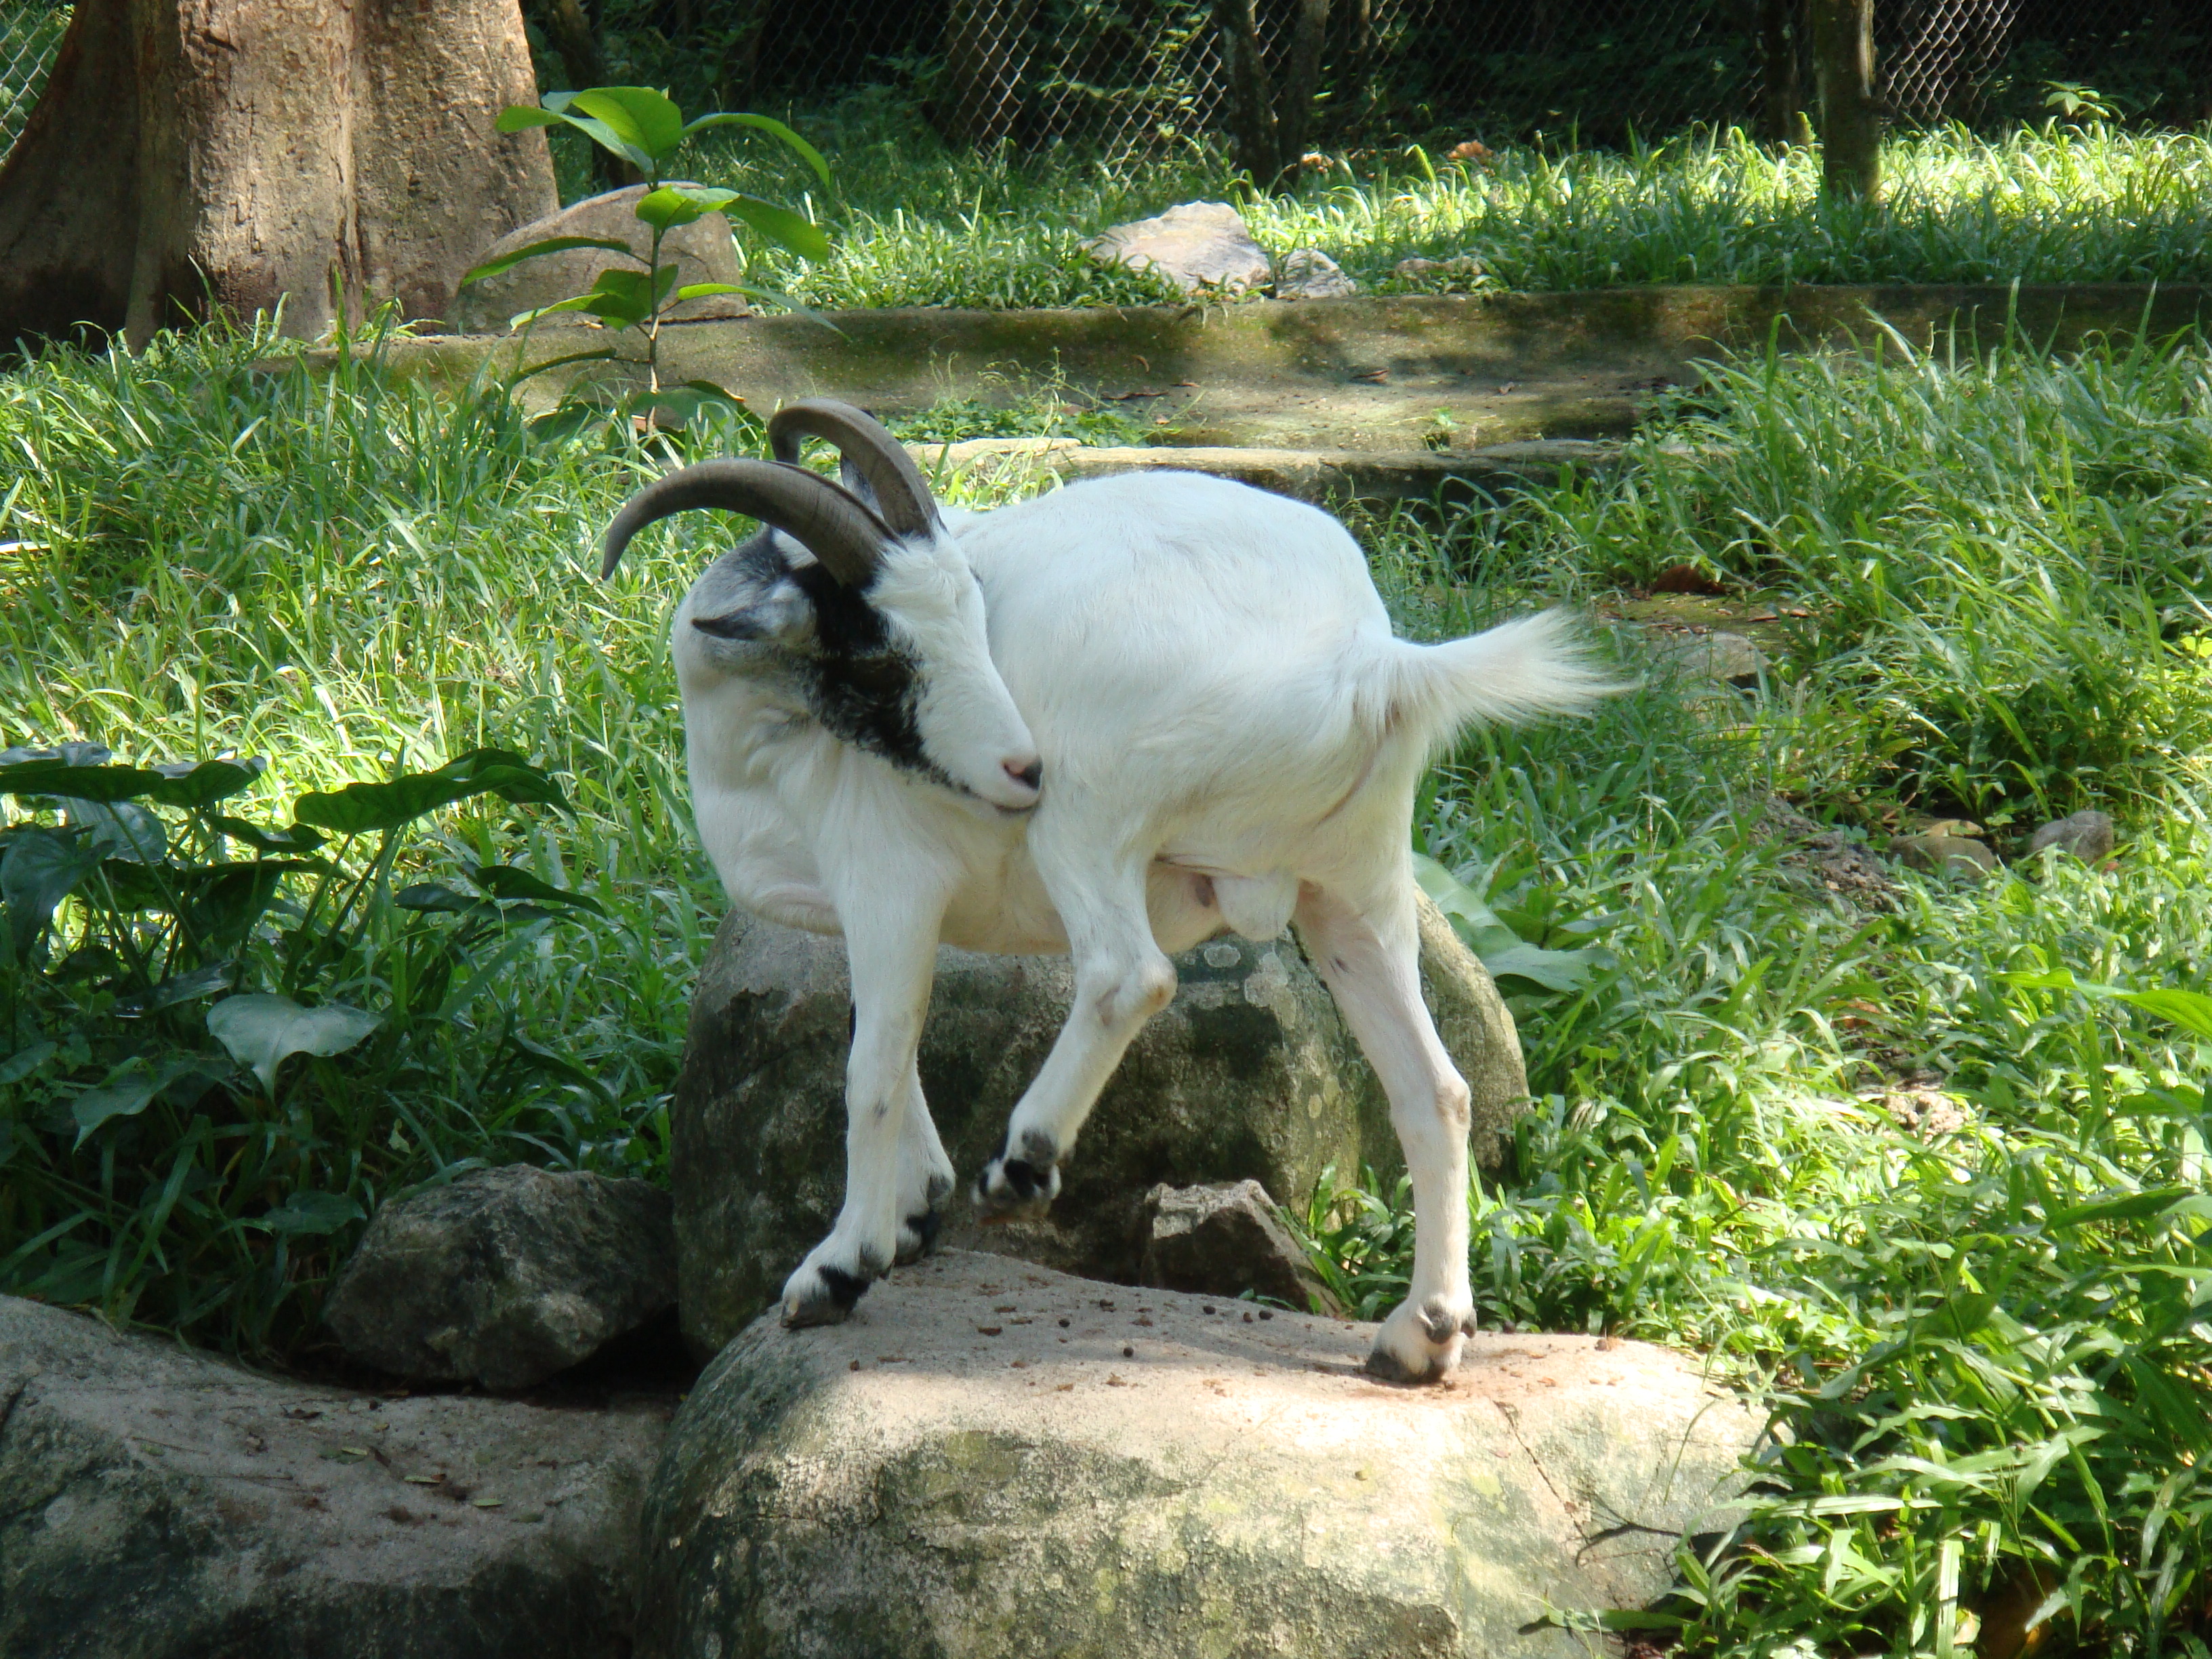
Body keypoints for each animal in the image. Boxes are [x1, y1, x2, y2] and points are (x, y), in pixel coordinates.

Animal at [601, 400, 1610, 1380]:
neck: (761, 754)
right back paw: (1422, 1334)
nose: (1017, 768)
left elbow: (871, 1069)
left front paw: (841, 1268)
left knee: (1133, 976)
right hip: (1355, 887)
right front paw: (917, 1207)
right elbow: (883, 1035)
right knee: (1436, 1089)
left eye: (972, 616)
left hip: (1090, 817)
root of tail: (1364, 658)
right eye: (883, 657)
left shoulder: (891, 885)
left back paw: (1022, 1165)